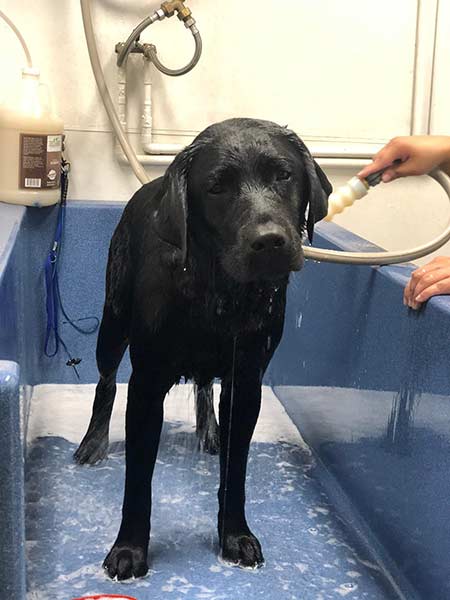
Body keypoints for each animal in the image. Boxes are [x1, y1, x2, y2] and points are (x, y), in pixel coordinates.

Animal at [74, 117, 330, 580]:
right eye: (216, 188)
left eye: (283, 175)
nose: (269, 241)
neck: (219, 291)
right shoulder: (146, 385)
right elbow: (137, 481)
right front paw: (129, 549)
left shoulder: (246, 382)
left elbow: (235, 471)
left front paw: (235, 536)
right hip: (112, 322)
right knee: (105, 381)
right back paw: (93, 442)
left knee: (204, 385)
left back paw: (210, 430)